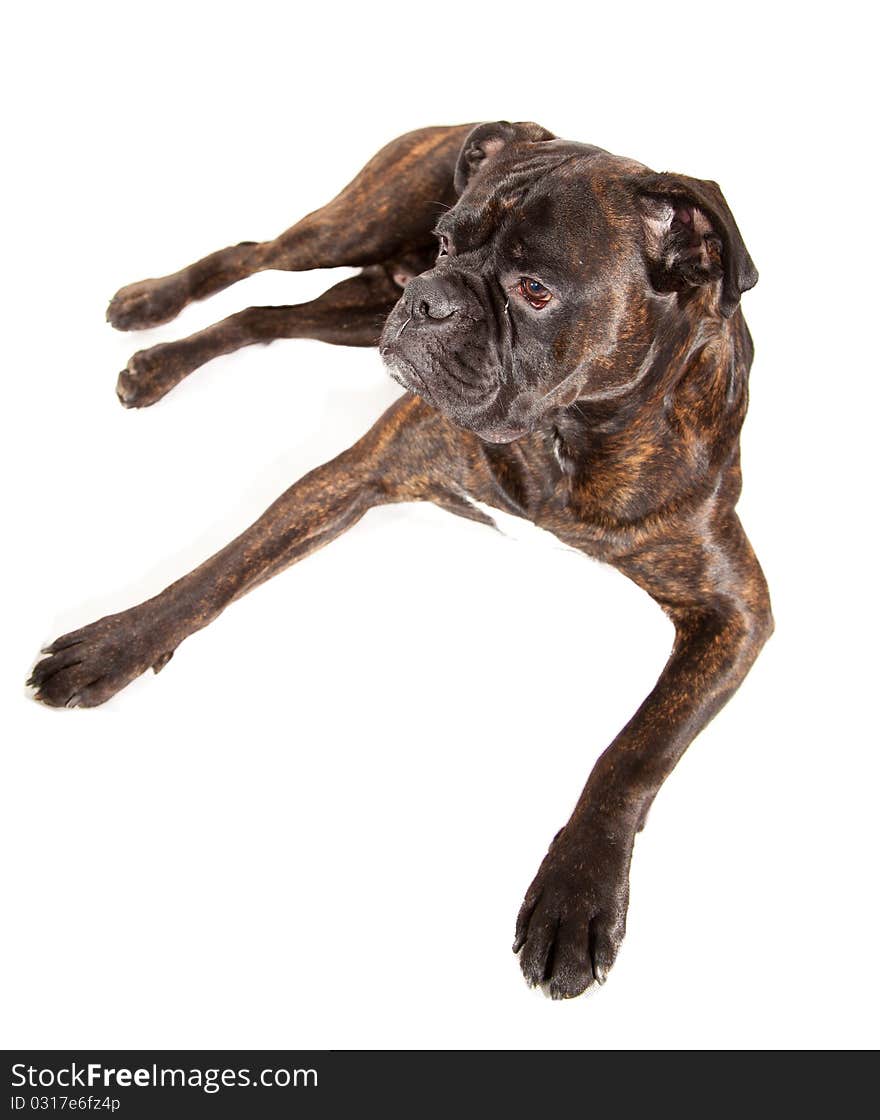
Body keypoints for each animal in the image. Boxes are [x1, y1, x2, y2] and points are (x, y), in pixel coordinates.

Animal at [25, 122, 770, 999]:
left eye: (534, 289)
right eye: (447, 243)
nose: (429, 295)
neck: (570, 432)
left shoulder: (736, 611)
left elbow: (636, 749)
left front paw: (577, 893)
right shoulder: (354, 475)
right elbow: (218, 572)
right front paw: (113, 646)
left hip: (354, 310)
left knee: (266, 314)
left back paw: (161, 359)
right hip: (346, 234)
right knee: (250, 255)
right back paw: (149, 316)